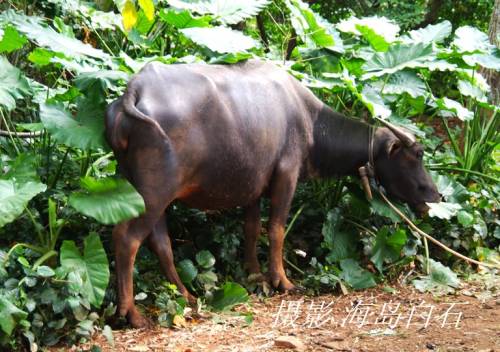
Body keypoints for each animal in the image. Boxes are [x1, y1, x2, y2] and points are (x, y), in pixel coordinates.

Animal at [103, 60, 440, 328]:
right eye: (418, 154)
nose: (436, 195)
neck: (309, 120)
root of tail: (134, 91)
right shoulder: (286, 176)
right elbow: (276, 229)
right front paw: (282, 280)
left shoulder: (255, 187)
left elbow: (252, 229)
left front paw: (254, 274)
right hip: (155, 192)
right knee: (127, 238)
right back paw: (131, 314)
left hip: (145, 190)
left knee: (160, 242)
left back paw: (186, 295)